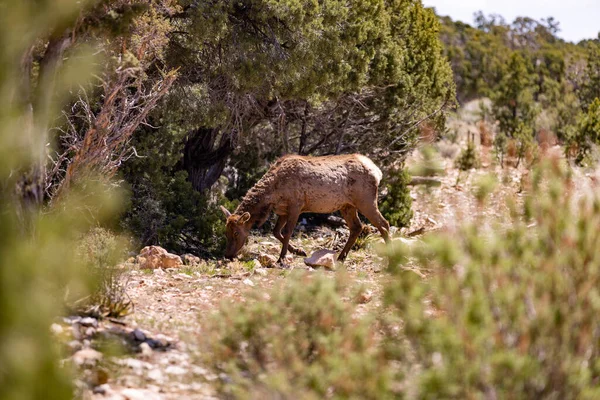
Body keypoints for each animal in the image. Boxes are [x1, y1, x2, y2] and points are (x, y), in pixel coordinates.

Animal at [220, 154, 390, 266]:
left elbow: (287, 232)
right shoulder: (283, 210)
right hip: (347, 206)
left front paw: (282, 258)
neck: (271, 196)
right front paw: (299, 251)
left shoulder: (296, 205)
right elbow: (276, 232)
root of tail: (378, 172)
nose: (227, 254)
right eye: (225, 232)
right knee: (357, 227)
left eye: (236, 233)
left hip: (365, 200)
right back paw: (341, 257)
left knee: (384, 224)